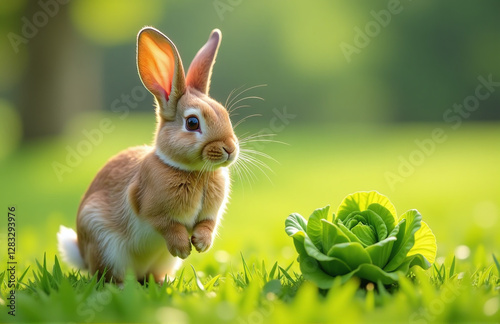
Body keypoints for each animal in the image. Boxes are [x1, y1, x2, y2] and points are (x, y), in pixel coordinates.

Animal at [57, 27, 239, 284]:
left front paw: (201, 244)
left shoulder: (210, 215)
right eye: (192, 123)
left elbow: (207, 225)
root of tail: (82, 255)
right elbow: (168, 227)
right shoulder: (155, 212)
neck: (194, 171)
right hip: (105, 243)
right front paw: (183, 248)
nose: (230, 149)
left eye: (224, 114)